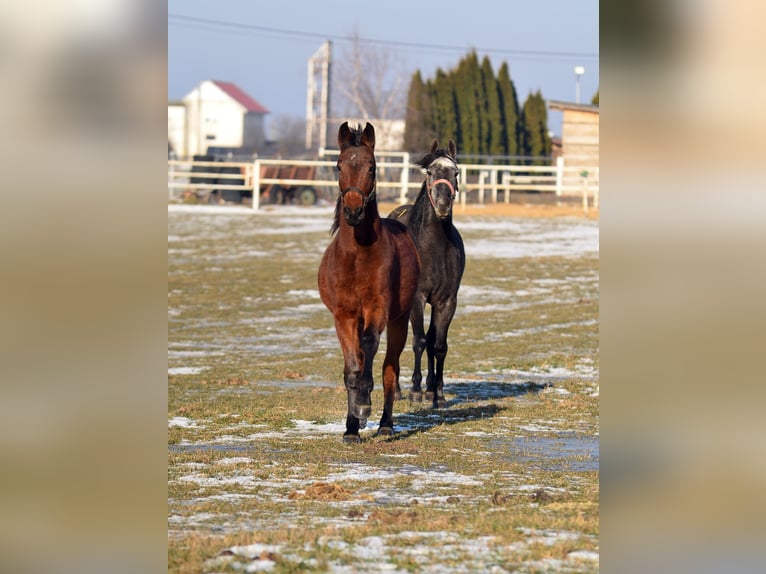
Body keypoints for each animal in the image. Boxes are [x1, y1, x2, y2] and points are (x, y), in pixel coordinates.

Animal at [317, 122, 421, 443]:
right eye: (338, 166)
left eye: (373, 167)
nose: (353, 211)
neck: (358, 254)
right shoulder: (345, 315)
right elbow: (352, 367)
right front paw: (352, 424)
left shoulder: (378, 308)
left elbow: (371, 346)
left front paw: (364, 404)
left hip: (400, 319)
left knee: (390, 368)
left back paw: (386, 424)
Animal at [388, 139, 466, 408]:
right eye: (430, 172)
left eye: (456, 172)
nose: (443, 204)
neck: (433, 248)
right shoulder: (417, 298)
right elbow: (419, 341)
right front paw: (415, 391)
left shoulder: (446, 301)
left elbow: (438, 345)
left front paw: (438, 394)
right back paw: (398, 391)